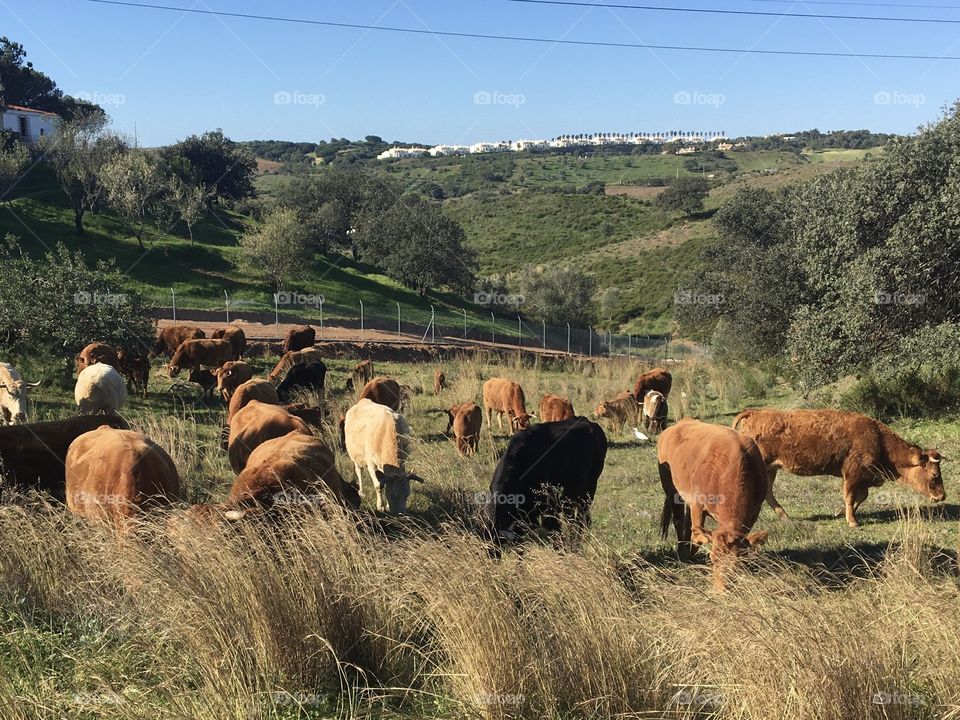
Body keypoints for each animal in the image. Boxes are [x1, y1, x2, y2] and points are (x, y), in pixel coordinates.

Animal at [658, 419, 768, 591]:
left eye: (735, 563)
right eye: (713, 559)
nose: (721, 591)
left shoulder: (754, 512)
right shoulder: (697, 506)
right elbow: (697, 537)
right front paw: (690, 558)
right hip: (671, 489)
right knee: (678, 520)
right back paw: (682, 550)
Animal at [732, 408, 946, 527]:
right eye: (934, 475)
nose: (942, 496)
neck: (877, 438)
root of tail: (755, 413)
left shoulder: (862, 477)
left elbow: (861, 496)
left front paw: (841, 513)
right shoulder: (852, 474)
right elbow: (850, 496)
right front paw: (852, 521)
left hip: (771, 469)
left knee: (767, 492)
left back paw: (784, 516)